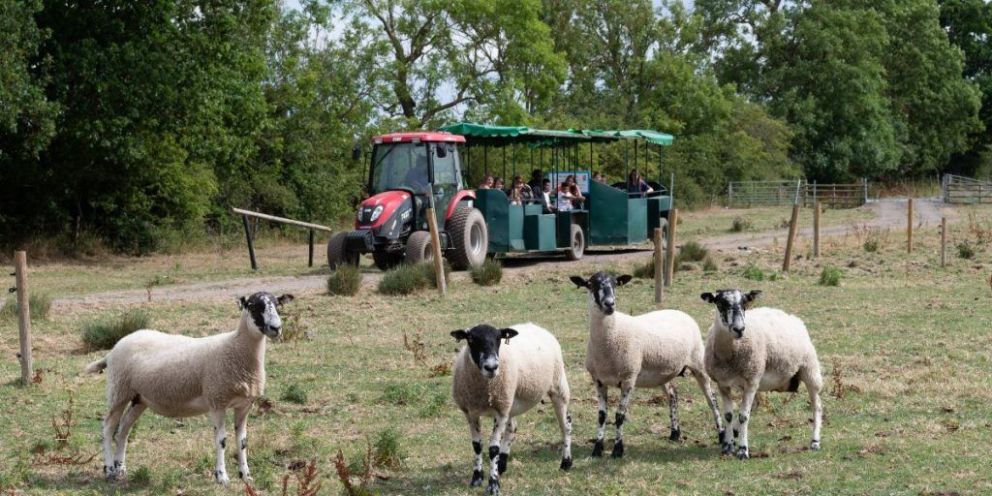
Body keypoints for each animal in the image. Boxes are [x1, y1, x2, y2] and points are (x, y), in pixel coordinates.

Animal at [84, 292, 294, 482]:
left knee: (124, 428)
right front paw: (222, 477)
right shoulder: (216, 400)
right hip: (118, 390)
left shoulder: (244, 405)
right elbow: (221, 440)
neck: (235, 348)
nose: (276, 328)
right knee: (108, 427)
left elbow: (242, 442)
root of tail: (113, 349)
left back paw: (121, 468)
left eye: (278, 305)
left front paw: (246, 476)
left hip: (139, 397)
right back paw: (109, 469)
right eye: (253, 306)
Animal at [452, 322, 568, 496]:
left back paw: (566, 462)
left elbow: (493, 448)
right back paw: (501, 465)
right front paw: (477, 478)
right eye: (471, 339)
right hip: (511, 402)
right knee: (512, 428)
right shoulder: (470, 412)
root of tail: (534, 325)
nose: (491, 367)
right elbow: (477, 445)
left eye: (498, 338)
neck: (484, 388)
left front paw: (493, 484)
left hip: (557, 385)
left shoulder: (500, 411)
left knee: (566, 426)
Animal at [568, 274, 724, 460]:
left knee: (712, 399)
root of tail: (680, 312)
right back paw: (675, 433)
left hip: (698, 362)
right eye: (591, 284)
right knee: (673, 394)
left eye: (615, 284)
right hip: (663, 372)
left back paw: (722, 435)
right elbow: (601, 416)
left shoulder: (629, 378)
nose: (609, 304)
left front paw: (617, 450)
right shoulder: (598, 380)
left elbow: (619, 416)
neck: (610, 336)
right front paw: (597, 449)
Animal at [700, 288, 824, 460]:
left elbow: (743, 416)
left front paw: (743, 450)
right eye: (720, 303)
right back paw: (736, 432)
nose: (739, 329)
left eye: (745, 303)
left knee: (816, 406)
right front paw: (728, 446)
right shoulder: (723, 383)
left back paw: (815, 441)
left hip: (809, 369)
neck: (729, 353)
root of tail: (793, 318)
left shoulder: (751, 380)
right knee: (754, 406)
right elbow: (729, 415)